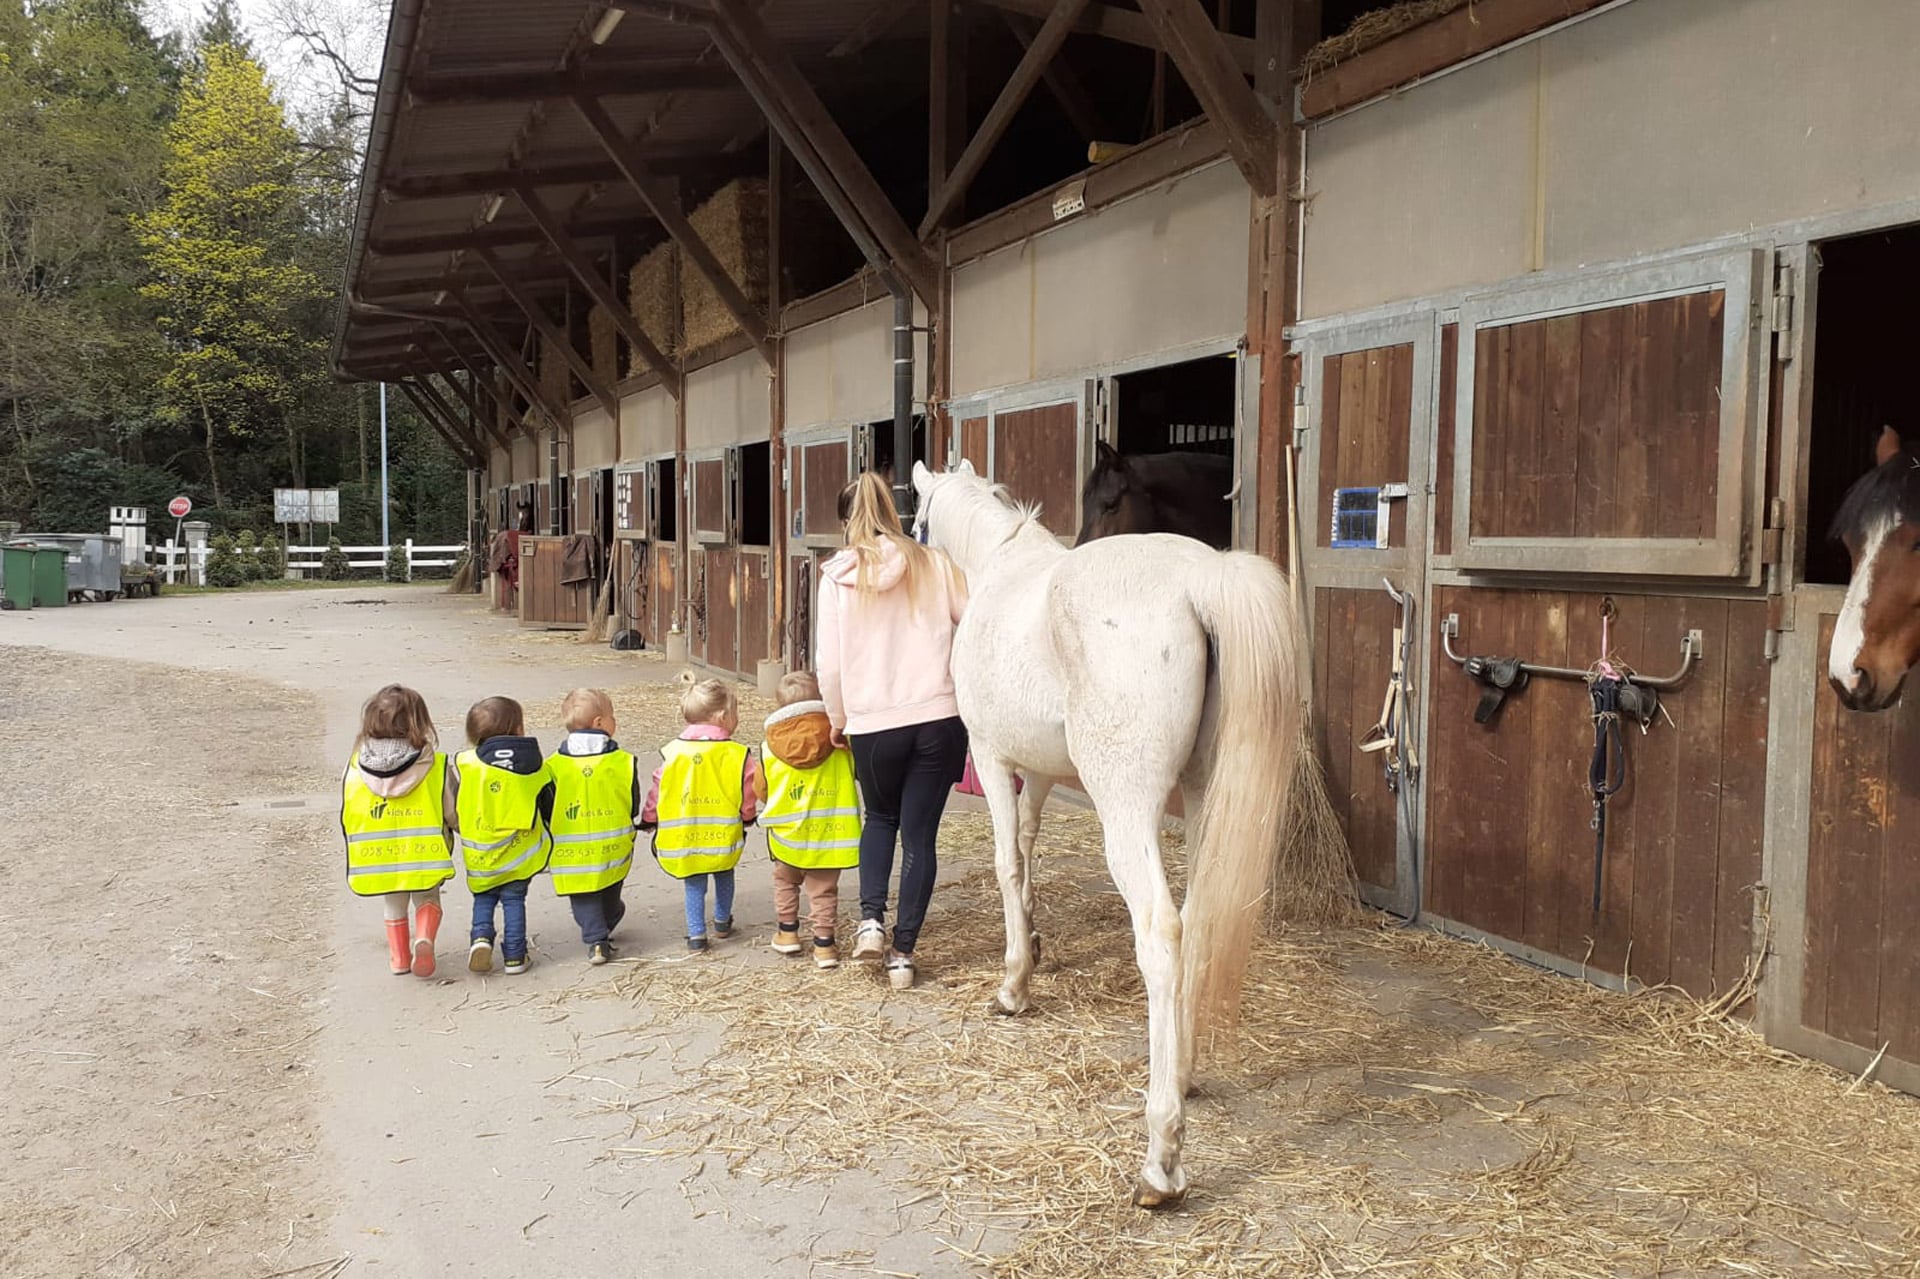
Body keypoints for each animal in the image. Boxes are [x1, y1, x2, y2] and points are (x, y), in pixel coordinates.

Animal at [910, 460, 1305, 1208]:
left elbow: (1007, 859)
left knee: (1161, 932)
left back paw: (1162, 1157)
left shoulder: (992, 755)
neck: (1001, 565)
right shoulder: (1039, 769)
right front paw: (1034, 943)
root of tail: (1201, 581)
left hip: (1127, 810)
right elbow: (1028, 842)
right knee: (1199, 918)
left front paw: (1014, 984)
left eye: (916, 523)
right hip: (1205, 796)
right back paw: (1181, 1075)